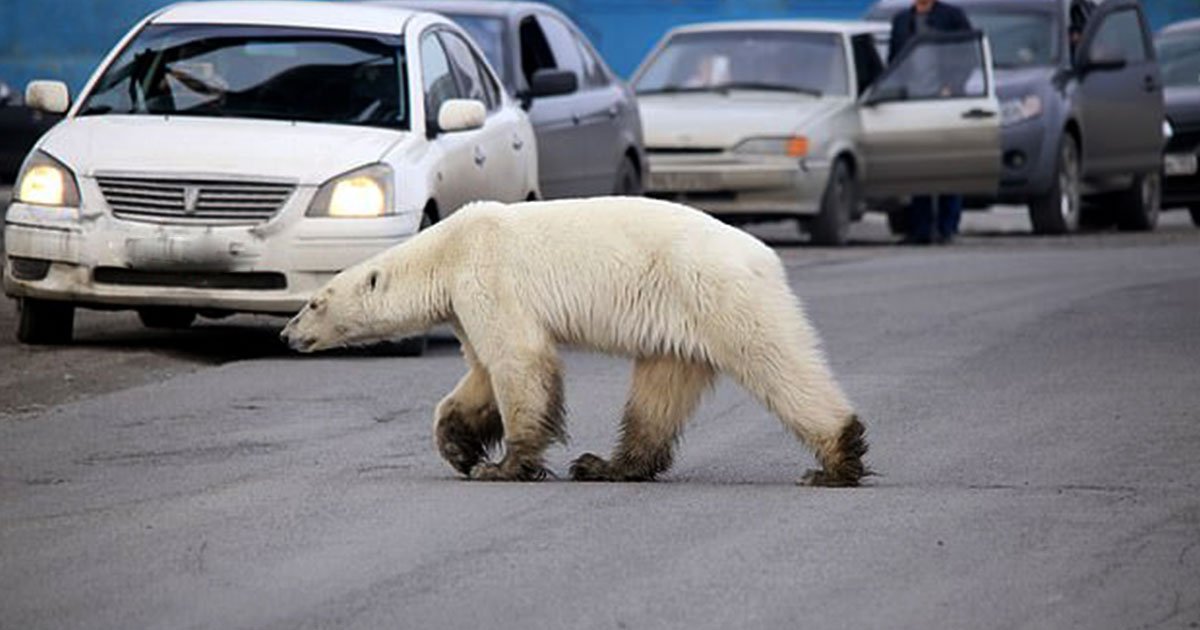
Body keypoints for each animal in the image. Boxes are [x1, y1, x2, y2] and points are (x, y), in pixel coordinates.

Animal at [279, 199, 868, 484]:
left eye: (314, 302)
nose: (287, 334)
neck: (447, 249)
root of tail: (764, 255)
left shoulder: (488, 274)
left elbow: (518, 360)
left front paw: (503, 467)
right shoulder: (467, 304)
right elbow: (481, 375)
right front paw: (459, 447)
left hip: (716, 291)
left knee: (776, 362)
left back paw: (836, 460)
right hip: (680, 322)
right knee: (660, 391)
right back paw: (607, 465)